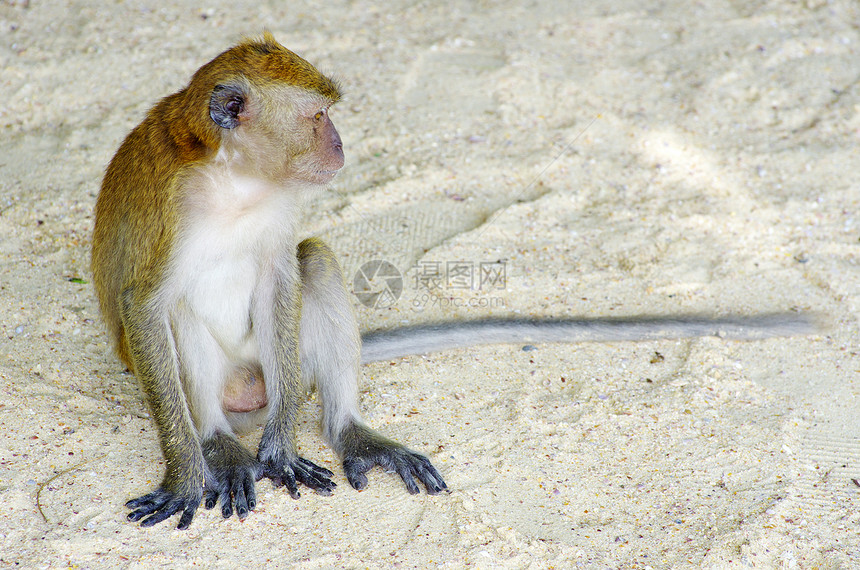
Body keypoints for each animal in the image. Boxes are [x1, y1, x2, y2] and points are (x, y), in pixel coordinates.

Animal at [92, 34, 812, 528]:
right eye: (316, 118)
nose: (339, 145)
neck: (237, 180)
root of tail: (251, 390)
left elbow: (282, 272)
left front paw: (281, 447)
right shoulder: (170, 209)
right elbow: (144, 304)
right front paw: (188, 476)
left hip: (272, 365)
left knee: (314, 259)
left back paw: (346, 432)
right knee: (178, 314)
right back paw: (219, 442)